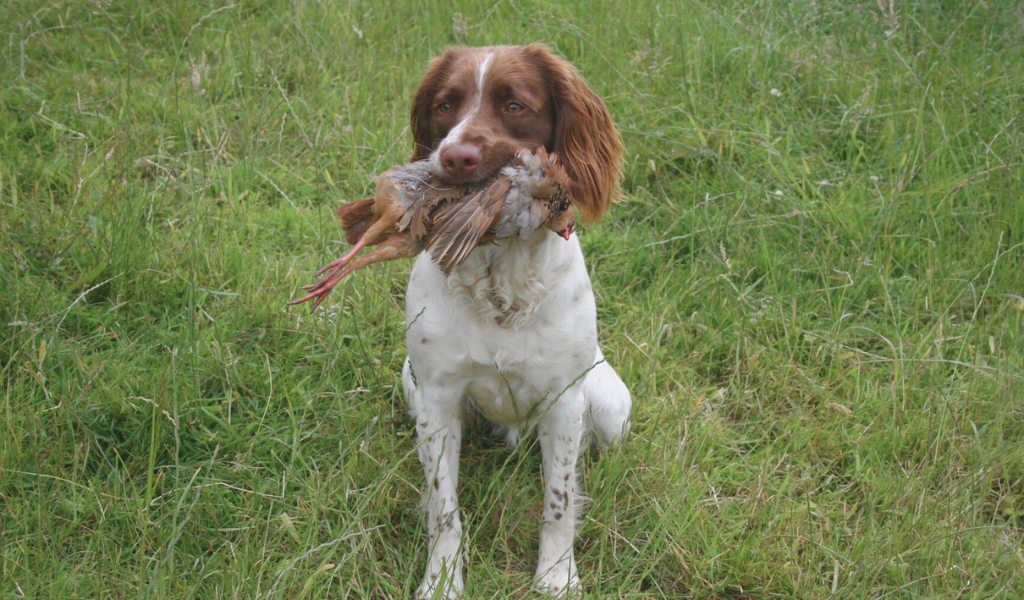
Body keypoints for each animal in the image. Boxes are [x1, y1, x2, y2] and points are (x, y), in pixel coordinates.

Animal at [399, 44, 630, 593]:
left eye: (514, 105)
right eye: (445, 104)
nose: (455, 157)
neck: (499, 282)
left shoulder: (565, 402)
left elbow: (559, 501)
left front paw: (557, 577)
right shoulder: (436, 398)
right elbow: (443, 506)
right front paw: (441, 582)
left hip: (611, 406)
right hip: (409, 384)